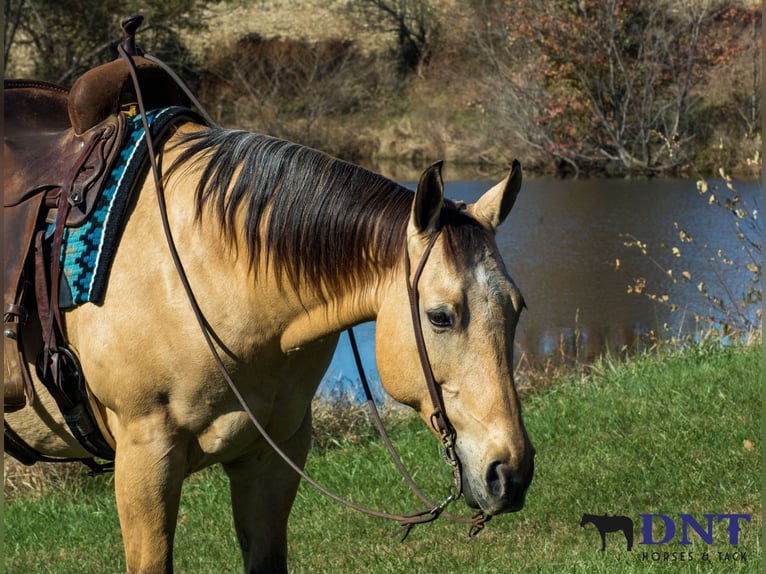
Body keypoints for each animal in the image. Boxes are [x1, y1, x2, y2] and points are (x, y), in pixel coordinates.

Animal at [5, 120, 535, 573]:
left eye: (518, 308)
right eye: (440, 316)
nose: (510, 473)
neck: (204, 274)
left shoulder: (273, 455)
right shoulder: (145, 457)